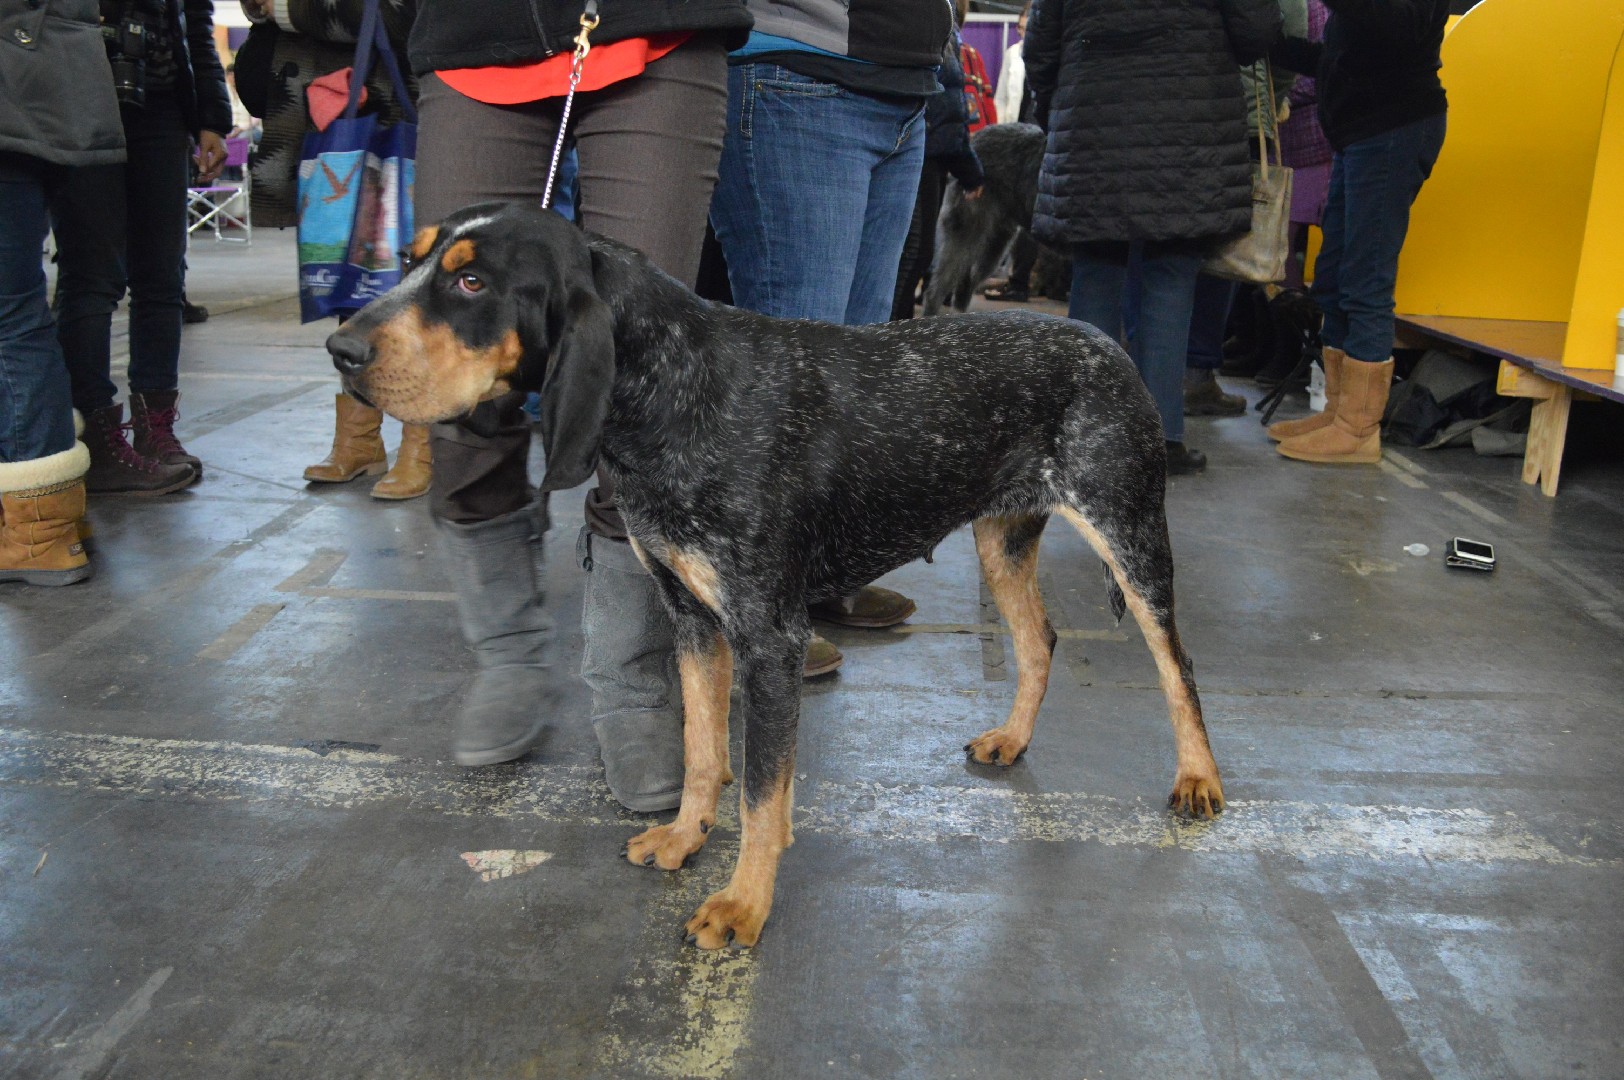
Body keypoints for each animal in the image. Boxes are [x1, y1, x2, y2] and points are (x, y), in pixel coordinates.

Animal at [326, 199, 1221, 941]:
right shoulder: (692, 618)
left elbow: (760, 790)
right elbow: (701, 753)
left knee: (1178, 667)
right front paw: (685, 838)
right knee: (1040, 642)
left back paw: (1199, 780)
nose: (339, 347)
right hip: (1002, 544)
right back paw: (1013, 738)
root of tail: (1107, 343)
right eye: (410, 260)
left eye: (472, 281)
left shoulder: (769, 639)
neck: (674, 396)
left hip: (1131, 539)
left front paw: (741, 905)